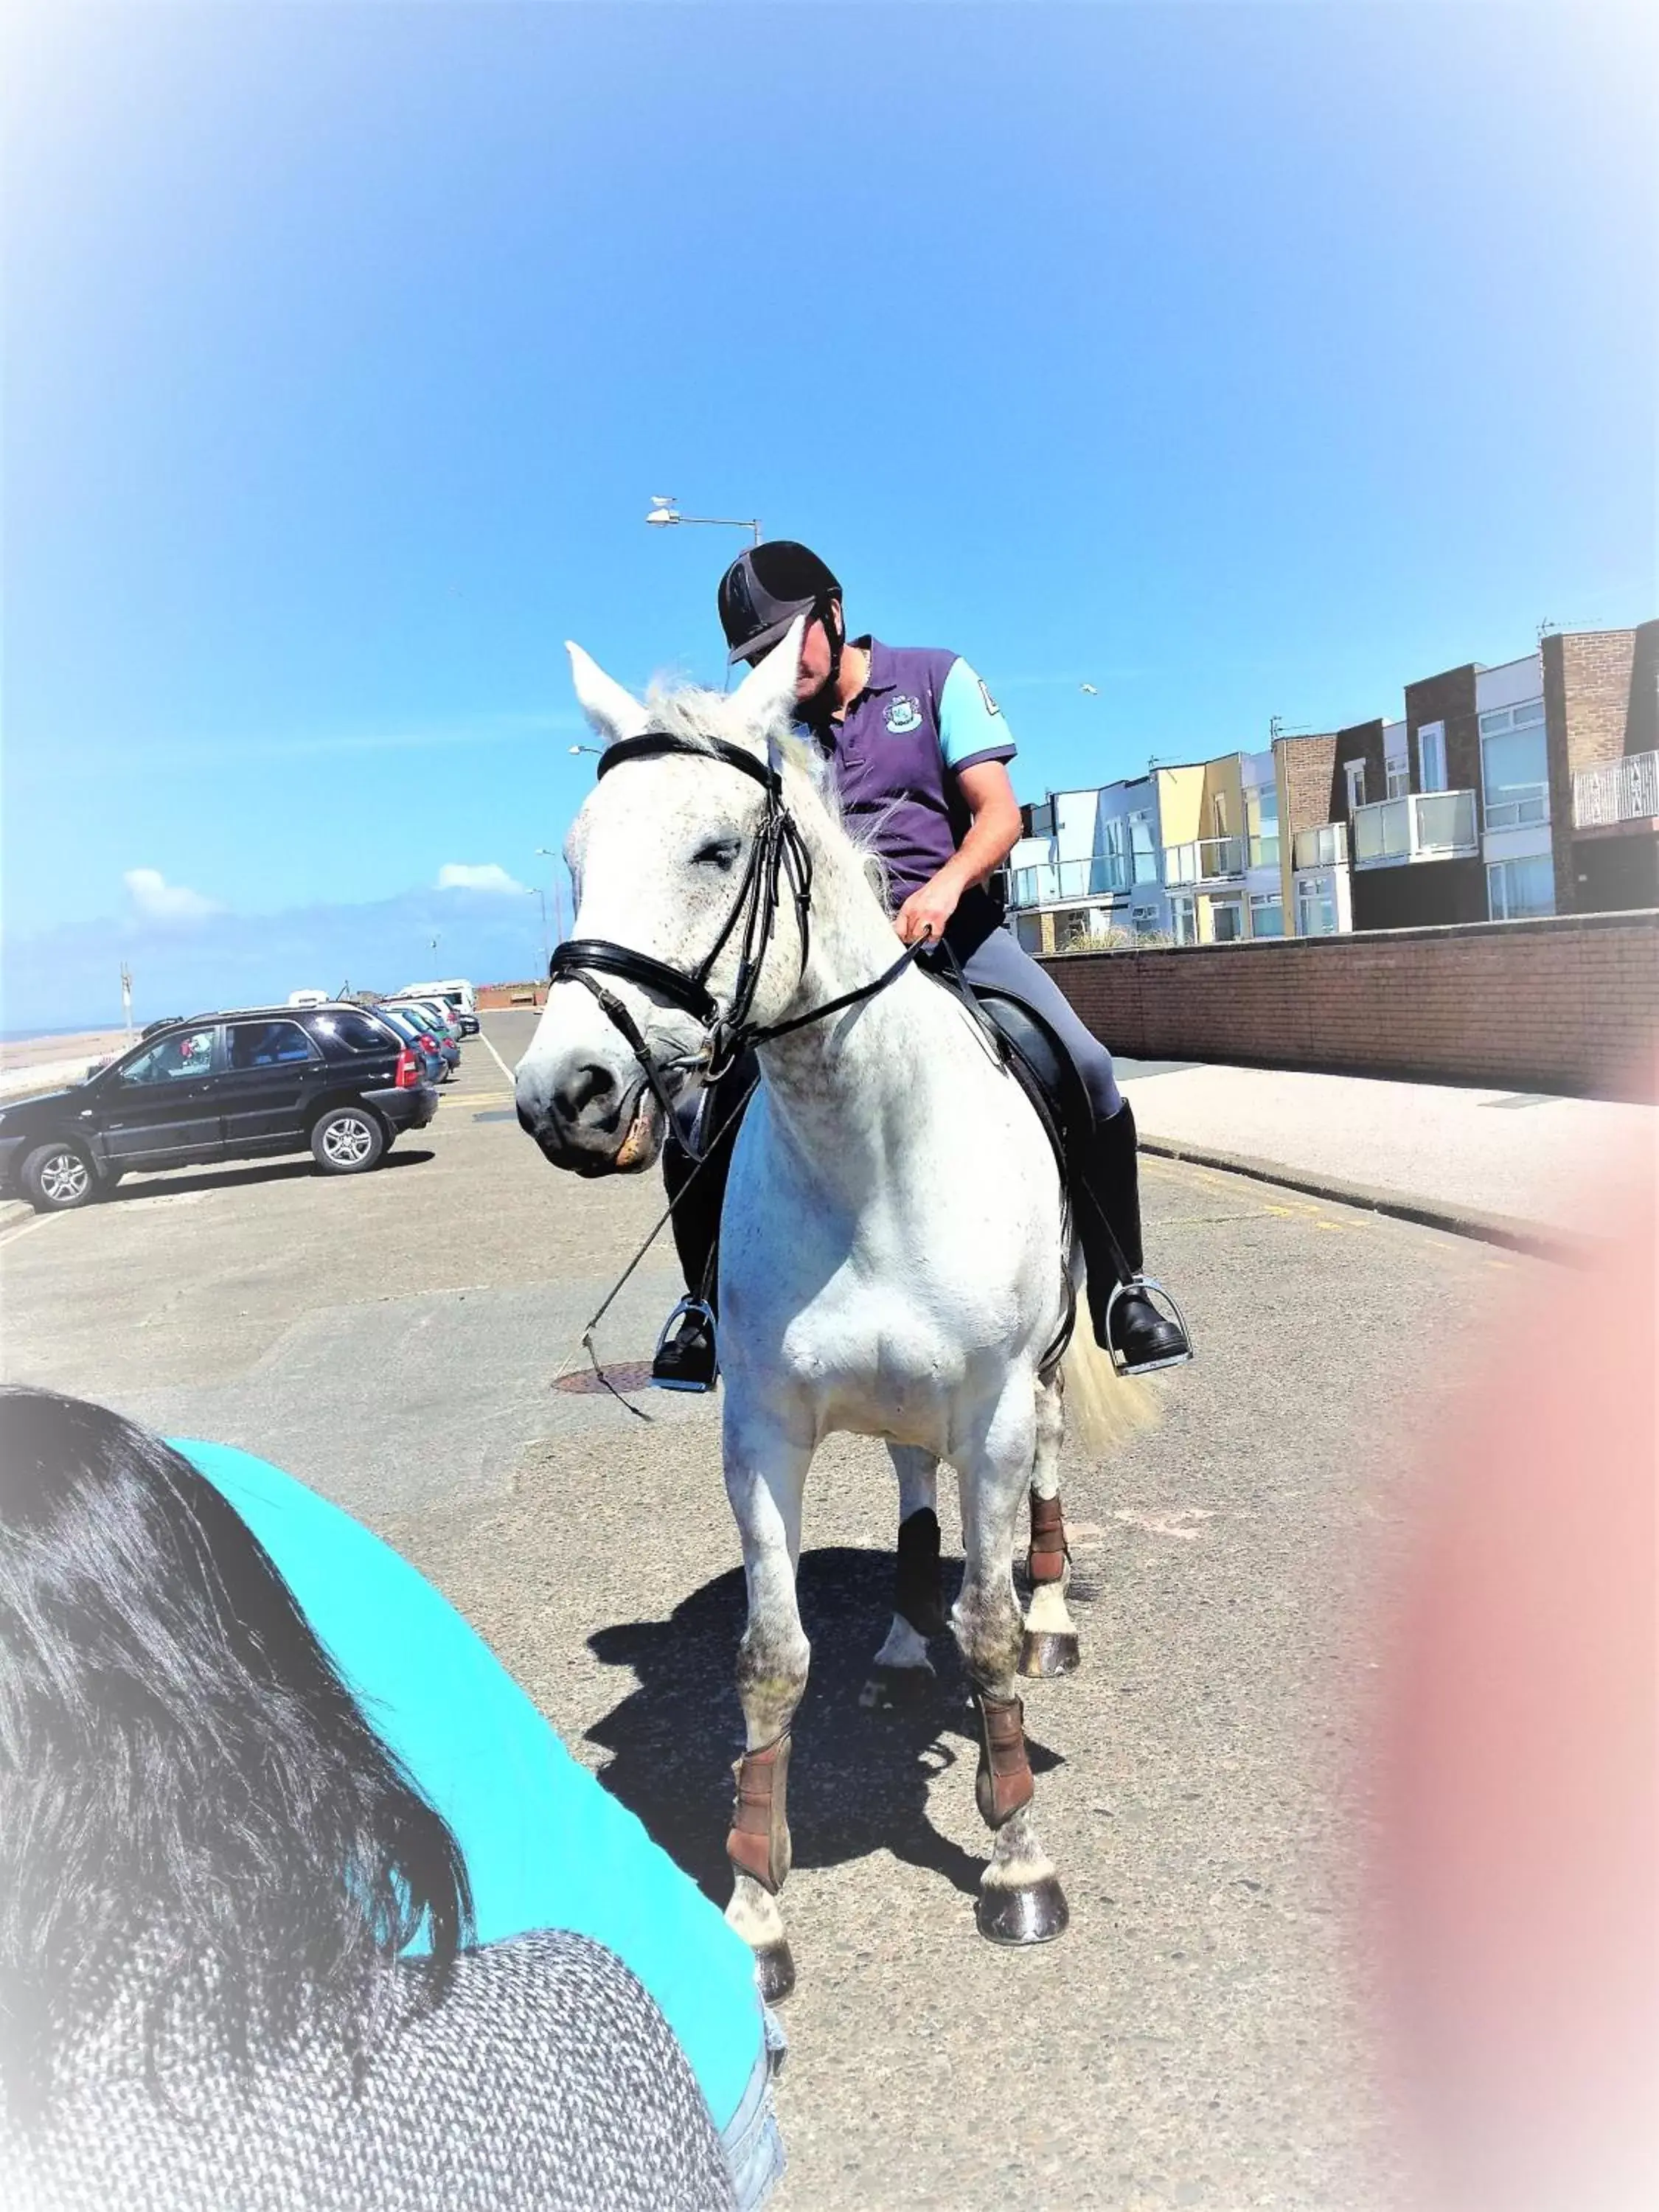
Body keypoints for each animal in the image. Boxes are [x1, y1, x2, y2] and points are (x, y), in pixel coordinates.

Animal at [513, 628, 1150, 2008]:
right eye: (578, 854)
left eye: (715, 849)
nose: (561, 1097)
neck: (868, 1143)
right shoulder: (761, 1431)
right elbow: (770, 1658)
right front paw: (755, 1912)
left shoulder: (995, 1404)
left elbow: (992, 1633)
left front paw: (1017, 1862)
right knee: (914, 1485)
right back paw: (904, 1643)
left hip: (1046, 1367)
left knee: (1040, 1483)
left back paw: (1054, 1612)